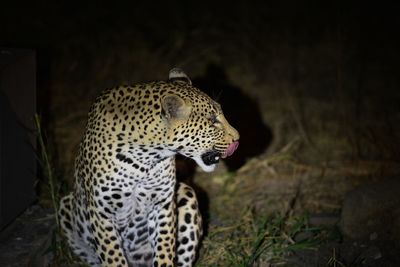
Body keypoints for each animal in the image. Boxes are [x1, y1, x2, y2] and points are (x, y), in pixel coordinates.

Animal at [57, 68, 239, 267]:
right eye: (212, 120)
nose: (238, 138)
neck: (145, 160)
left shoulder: (163, 203)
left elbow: (165, 248)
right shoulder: (101, 213)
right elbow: (113, 257)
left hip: (186, 193)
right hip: (65, 207)